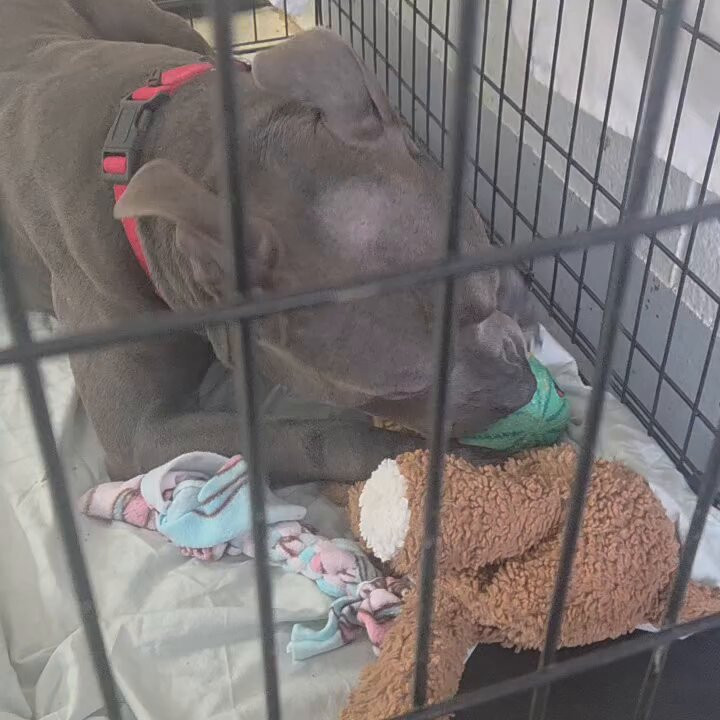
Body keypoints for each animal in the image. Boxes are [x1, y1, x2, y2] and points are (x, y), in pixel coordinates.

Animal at [0, 0, 538, 484]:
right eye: (401, 387)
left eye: (487, 291)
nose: (521, 392)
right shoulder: (141, 436)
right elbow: (315, 436)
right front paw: (450, 462)